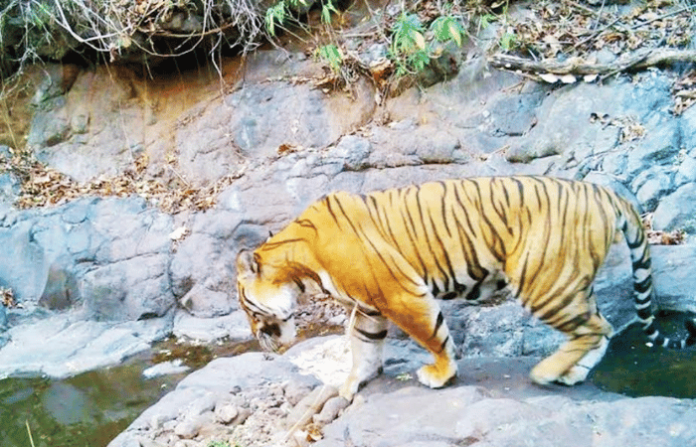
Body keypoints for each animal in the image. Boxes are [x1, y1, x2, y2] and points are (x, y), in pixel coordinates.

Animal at [236, 176, 696, 400]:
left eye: (250, 311)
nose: (261, 343)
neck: (300, 263)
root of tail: (604, 193)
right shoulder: (370, 306)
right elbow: (362, 345)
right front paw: (353, 384)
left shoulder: (401, 294)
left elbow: (433, 336)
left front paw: (440, 375)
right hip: (569, 282)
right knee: (603, 328)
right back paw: (571, 374)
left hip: (542, 280)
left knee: (594, 329)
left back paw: (546, 372)